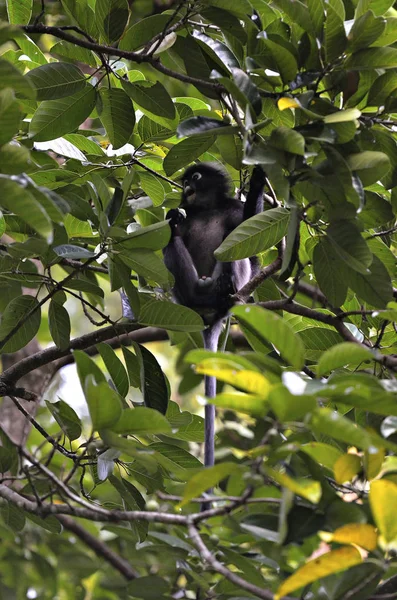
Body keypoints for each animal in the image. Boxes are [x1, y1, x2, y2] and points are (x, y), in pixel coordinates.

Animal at [162, 162, 264, 476]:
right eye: (184, 181)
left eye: (194, 178)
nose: (185, 186)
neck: (206, 208)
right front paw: (172, 219)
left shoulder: (232, 208)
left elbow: (250, 243)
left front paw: (258, 181)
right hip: (183, 290)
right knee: (173, 244)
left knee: (232, 247)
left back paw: (225, 288)